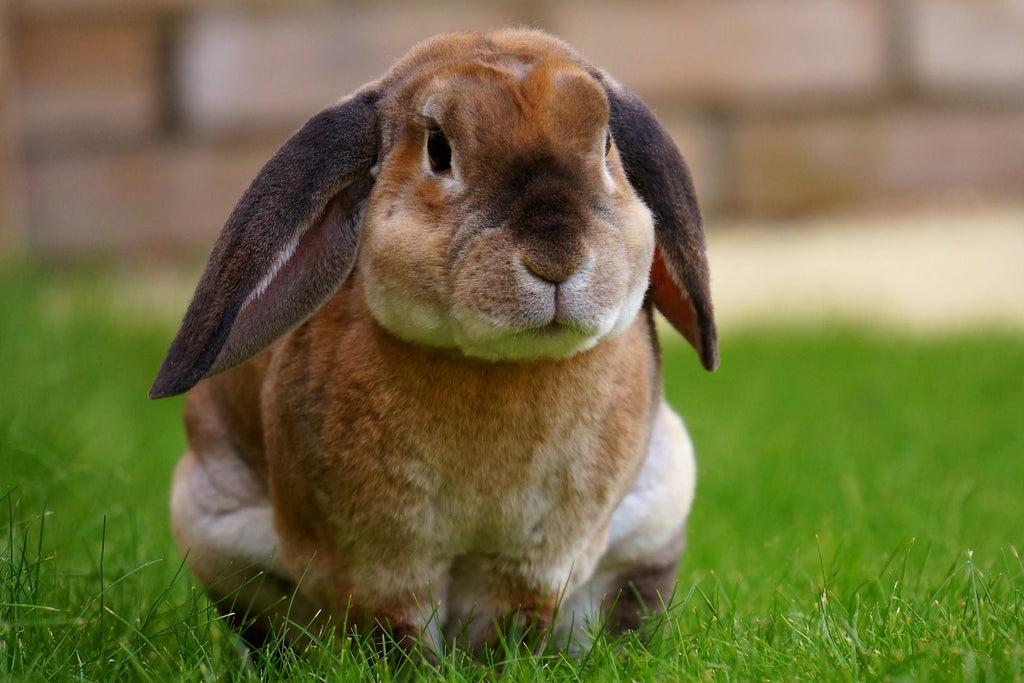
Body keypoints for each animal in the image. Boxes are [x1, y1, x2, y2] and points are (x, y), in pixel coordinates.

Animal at [148, 29, 716, 659]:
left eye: (607, 143)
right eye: (439, 150)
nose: (556, 258)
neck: (498, 367)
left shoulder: (534, 563)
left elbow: (510, 627)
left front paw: (498, 665)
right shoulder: (379, 562)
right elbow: (395, 632)